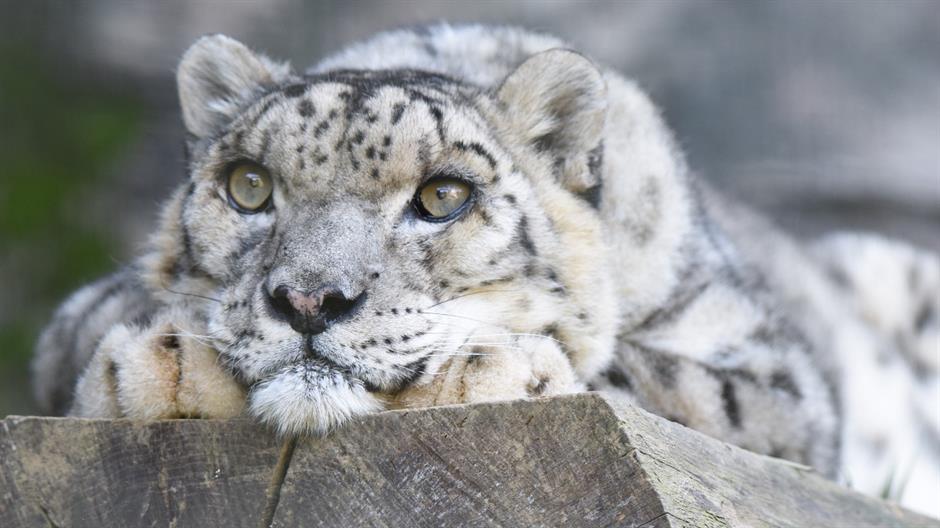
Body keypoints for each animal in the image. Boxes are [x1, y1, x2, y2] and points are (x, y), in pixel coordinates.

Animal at [32, 24, 939, 516]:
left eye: (444, 196)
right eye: (248, 186)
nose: (309, 298)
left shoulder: (778, 381)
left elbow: (648, 380)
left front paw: (495, 367)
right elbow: (89, 328)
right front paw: (163, 362)